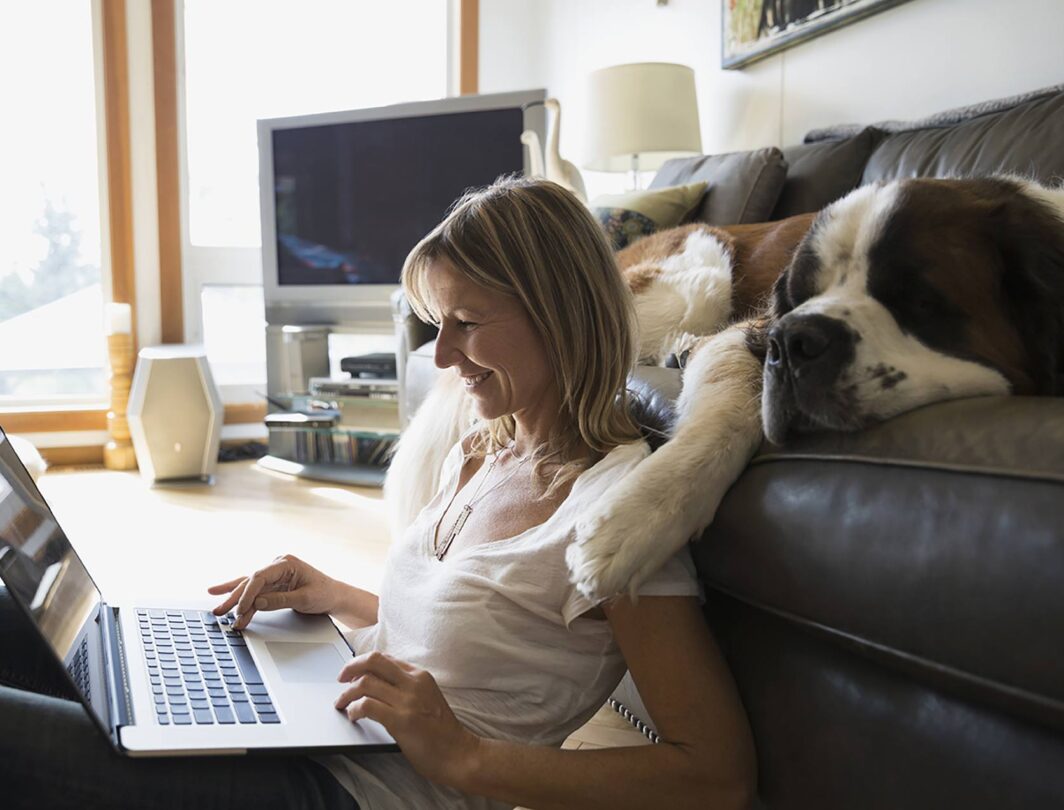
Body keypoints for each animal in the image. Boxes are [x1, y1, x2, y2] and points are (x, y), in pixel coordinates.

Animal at [391, 176, 1064, 600]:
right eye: (799, 294)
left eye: (918, 300)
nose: (795, 340)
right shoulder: (751, 333)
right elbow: (725, 417)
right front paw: (633, 524)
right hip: (700, 272)